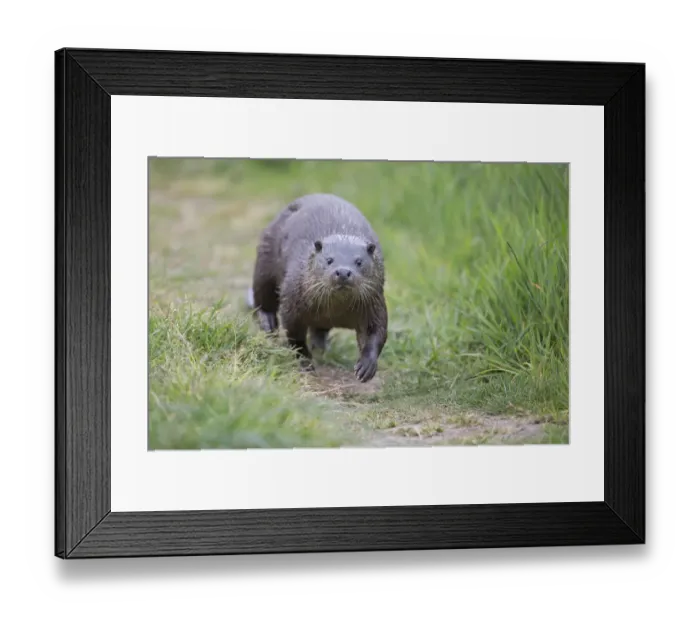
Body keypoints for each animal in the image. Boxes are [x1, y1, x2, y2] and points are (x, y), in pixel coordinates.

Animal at [247, 193, 388, 382]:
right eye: (329, 260)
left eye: (359, 262)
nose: (343, 272)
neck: (336, 313)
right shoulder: (292, 304)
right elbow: (295, 337)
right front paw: (305, 363)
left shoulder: (374, 304)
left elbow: (376, 332)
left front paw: (366, 366)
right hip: (264, 262)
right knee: (262, 296)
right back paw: (268, 323)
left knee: (320, 328)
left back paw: (319, 345)